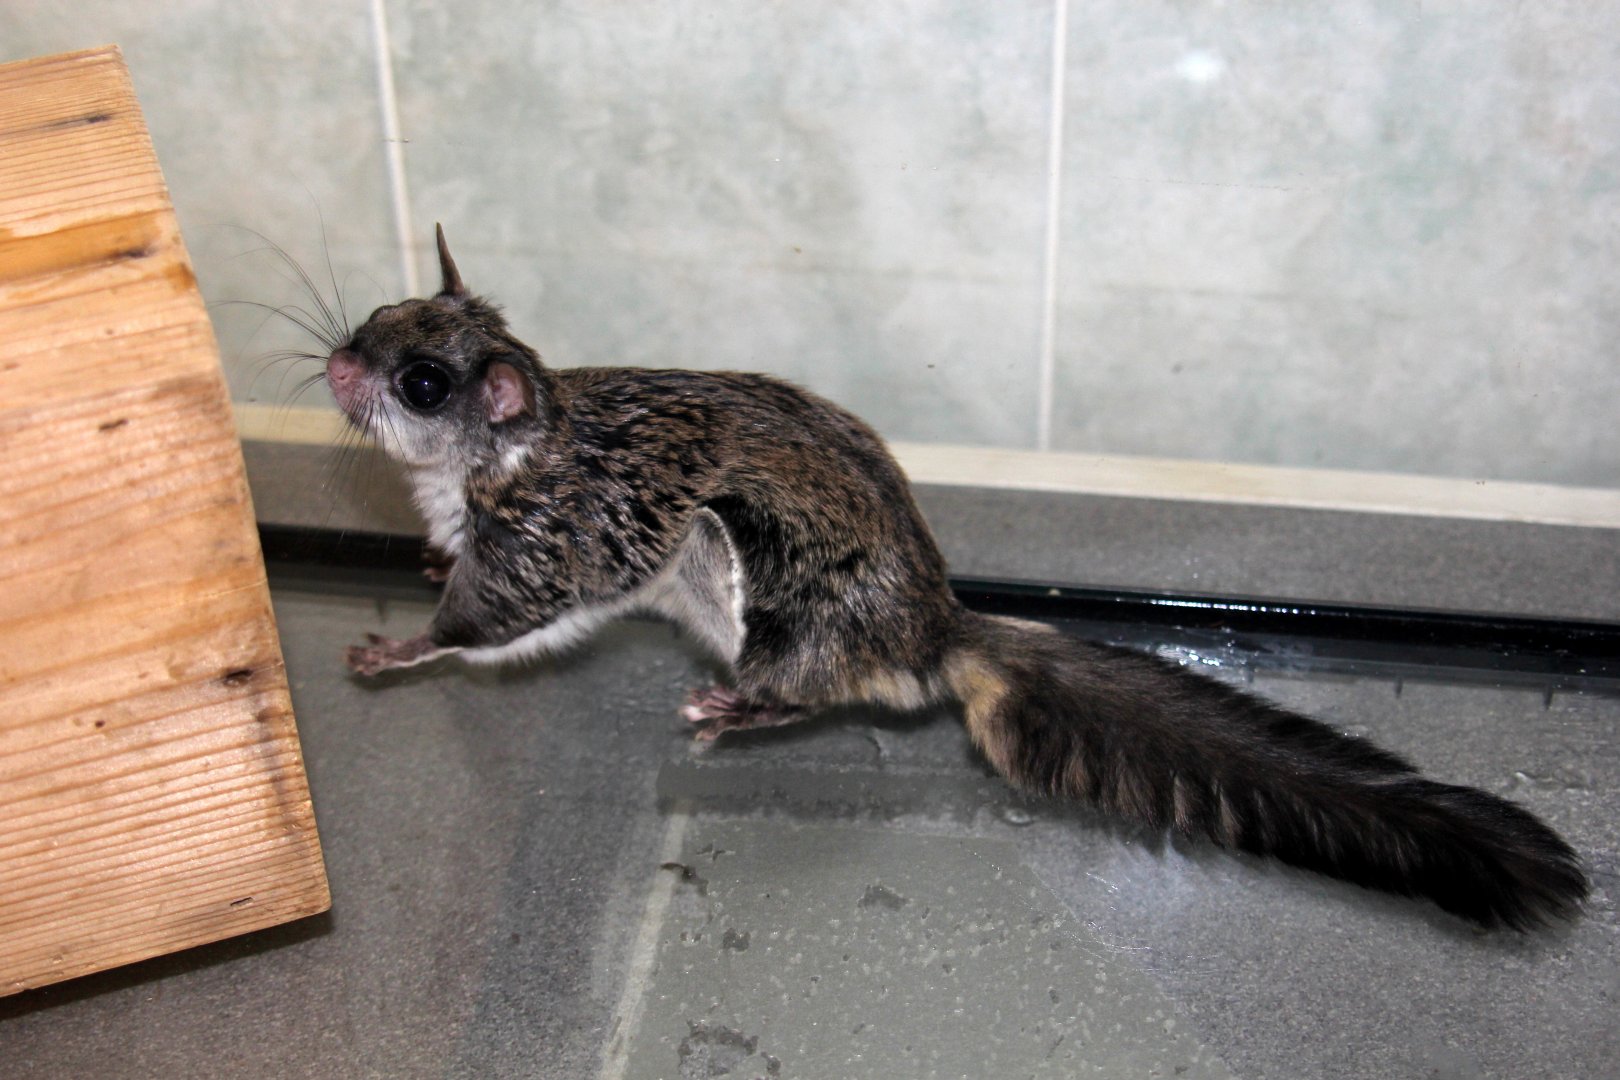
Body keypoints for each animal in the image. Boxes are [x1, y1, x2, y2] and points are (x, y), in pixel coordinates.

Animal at [328, 225, 1587, 931]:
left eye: (425, 382)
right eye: (379, 313)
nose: (338, 366)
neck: (513, 445)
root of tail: (932, 632)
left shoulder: (553, 540)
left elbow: (490, 620)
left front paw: (393, 649)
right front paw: (422, 559)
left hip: (767, 596)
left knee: (807, 692)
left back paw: (732, 708)